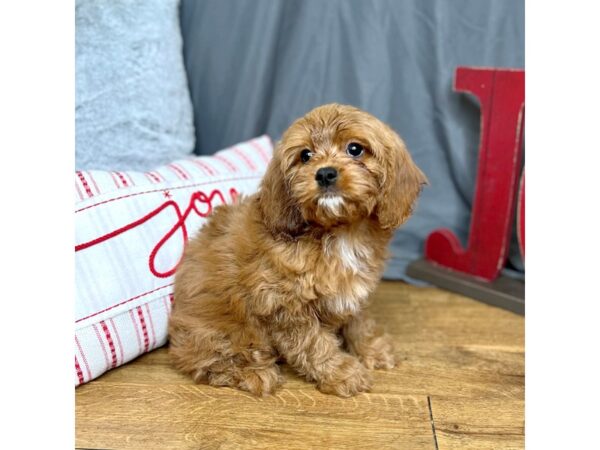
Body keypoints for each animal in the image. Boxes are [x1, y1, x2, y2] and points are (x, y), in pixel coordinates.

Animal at [168, 103, 426, 398]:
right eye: (305, 155)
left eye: (355, 149)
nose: (325, 173)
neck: (338, 232)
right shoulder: (284, 305)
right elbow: (314, 344)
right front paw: (342, 373)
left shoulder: (353, 292)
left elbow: (359, 322)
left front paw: (371, 348)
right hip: (222, 332)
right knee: (211, 360)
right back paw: (255, 374)